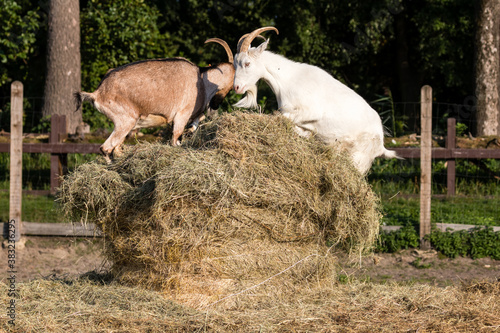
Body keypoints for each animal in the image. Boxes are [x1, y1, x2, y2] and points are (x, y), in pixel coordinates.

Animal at [74, 38, 234, 162]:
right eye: (232, 83)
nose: (216, 104)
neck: (201, 80)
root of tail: (97, 93)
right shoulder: (182, 115)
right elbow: (175, 140)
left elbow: (196, 123)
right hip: (125, 121)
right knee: (105, 148)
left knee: (116, 149)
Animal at [233, 26, 398, 174]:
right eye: (235, 64)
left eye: (247, 63)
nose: (237, 87)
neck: (287, 81)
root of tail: (381, 145)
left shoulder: (312, 111)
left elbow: (281, 116)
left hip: (359, 157)